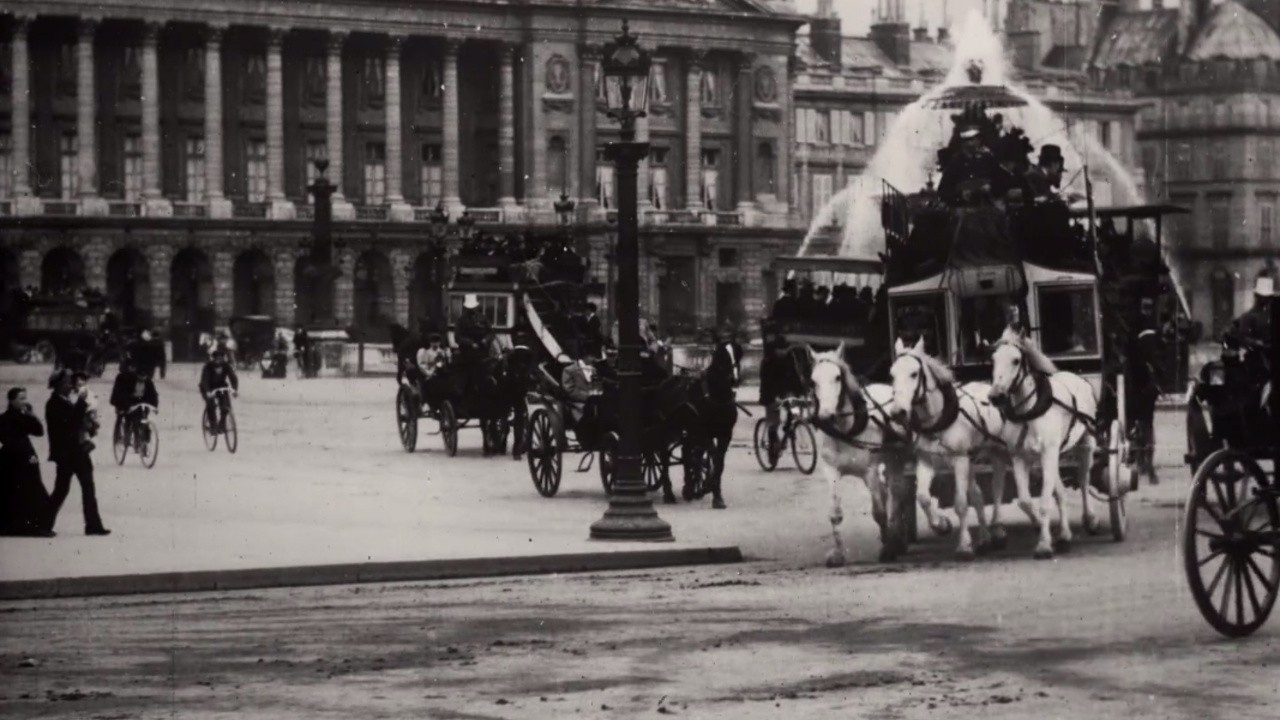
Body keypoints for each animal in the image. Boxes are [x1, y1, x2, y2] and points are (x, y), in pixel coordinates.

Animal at [808, 345, 911, 563]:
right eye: (813, 381)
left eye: (837, 377)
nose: (826, 416)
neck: (845, 431)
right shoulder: (831, 471)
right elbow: (835, 513)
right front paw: (838, 554)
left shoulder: (869, 472)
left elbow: (879, 512)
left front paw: (887, 549)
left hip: (897, 459)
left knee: (897, 494)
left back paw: (896, 538)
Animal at [890, 333, 1018, 558]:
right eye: (892, 375)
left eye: (914, 374)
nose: (898, 412)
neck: (938, 420)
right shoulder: (927, 460)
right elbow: (923, 497)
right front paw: (941, 525)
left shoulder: (959, 460)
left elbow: (960, 503)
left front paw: (964, 545)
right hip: (972, 458)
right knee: (977, 494)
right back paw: (985, 538)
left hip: (998, 451)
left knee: (998, 486)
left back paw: (998, 528)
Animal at [988, 325, 1100, 556]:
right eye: (993, 359)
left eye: (1016, 360)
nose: (996, 396)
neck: (1028, 411)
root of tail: (1077, 378)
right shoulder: (1020, 457)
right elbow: (1025, 501)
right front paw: (1044, 530)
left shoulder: (1048, 452)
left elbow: (1045, 501)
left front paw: (1044, 544)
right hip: (1053, 455)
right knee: (1060, 492)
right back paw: (1064, 535)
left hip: (1085, 445)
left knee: (1084, 480)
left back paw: (1090, 519)